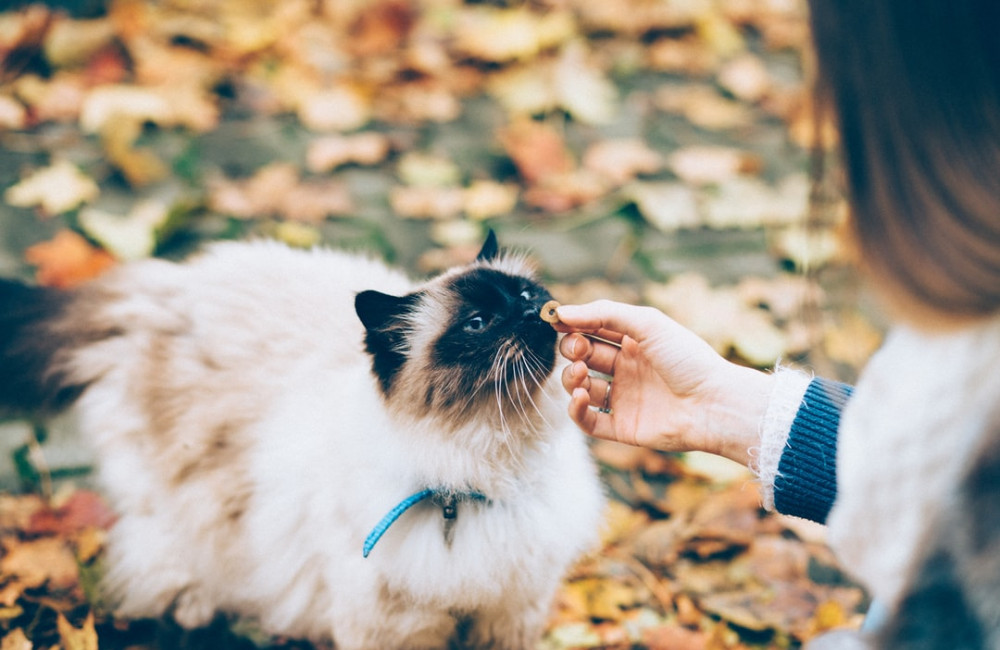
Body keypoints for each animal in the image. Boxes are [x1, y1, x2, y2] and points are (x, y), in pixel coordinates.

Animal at [0, 233, 604, 648]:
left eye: (525, 293)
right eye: (478, 324)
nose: (531, 311)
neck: (484, 474)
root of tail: (164, 286)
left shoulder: (510, 613)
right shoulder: (395, 627)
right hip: (181, 502)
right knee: (160, 552)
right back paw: (195, 605)